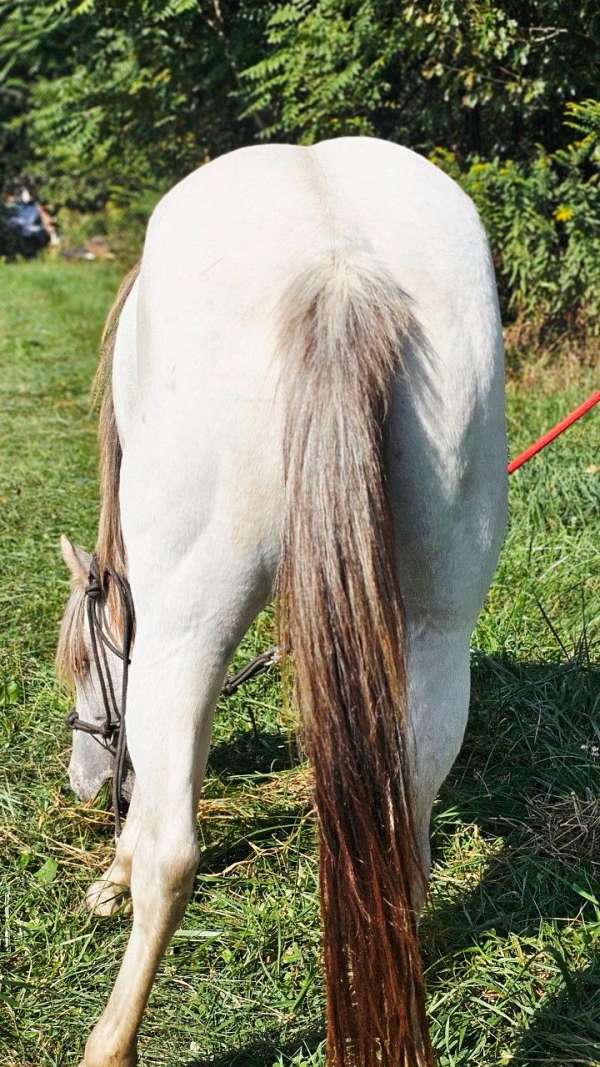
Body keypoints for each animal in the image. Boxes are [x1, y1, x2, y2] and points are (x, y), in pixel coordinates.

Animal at [57, 136, 507, 1067]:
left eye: (82, 667)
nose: (84, 786)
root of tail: (338, 267)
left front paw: (112, 873)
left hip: (191, 627)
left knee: (175, 855)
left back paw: (109, 1039)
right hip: (440, 624)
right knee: (410, 802)